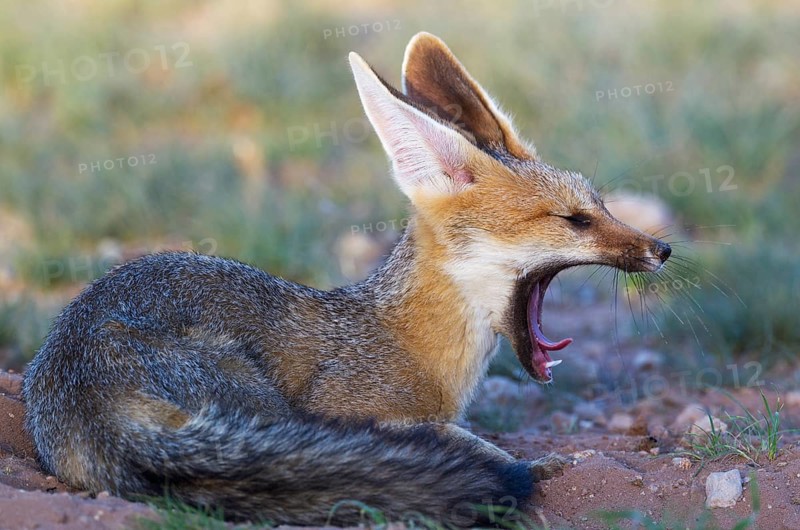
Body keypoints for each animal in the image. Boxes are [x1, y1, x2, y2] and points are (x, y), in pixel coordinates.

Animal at [23, 32, 671, 526]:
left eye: (600, 204)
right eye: (575, 220)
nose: (662, 249)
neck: (410, 341)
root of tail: (83, 385)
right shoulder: (353, 409)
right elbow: (454, 439)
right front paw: (534, 464)